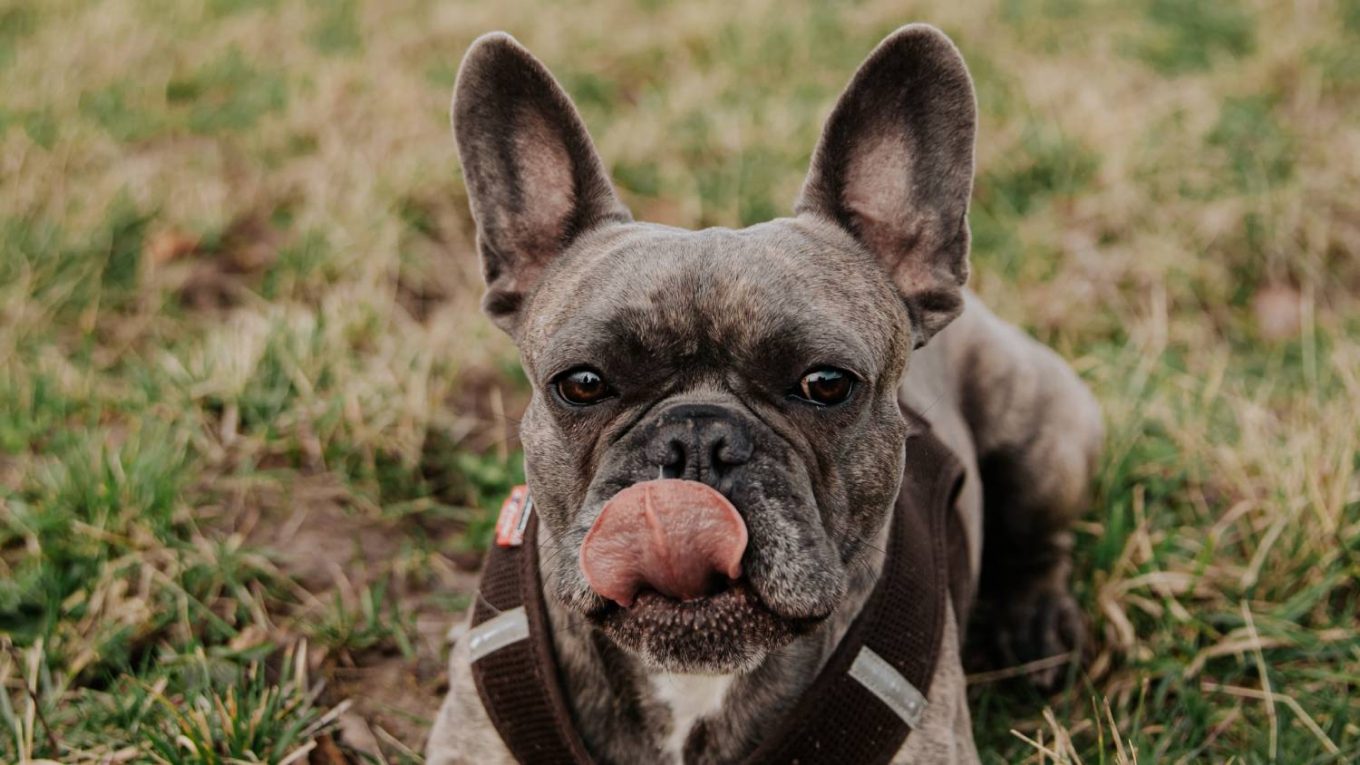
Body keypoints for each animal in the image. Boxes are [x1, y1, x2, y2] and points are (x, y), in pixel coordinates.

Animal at [429, 23, 1098, 762]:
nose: (697, 437)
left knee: (1040, 541)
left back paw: (1036, 622)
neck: (691, 682)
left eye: (827, 383)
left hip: (1046, 435)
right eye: (581, 383)